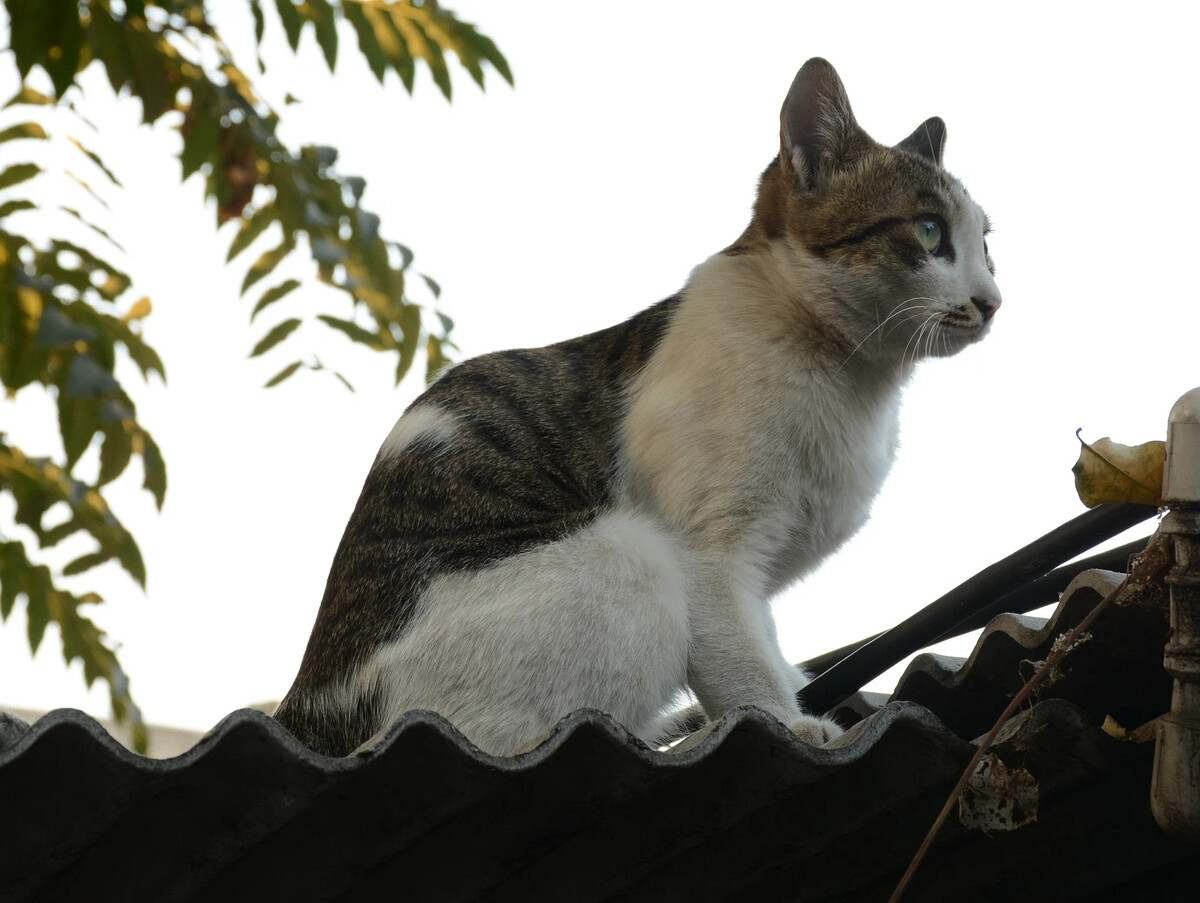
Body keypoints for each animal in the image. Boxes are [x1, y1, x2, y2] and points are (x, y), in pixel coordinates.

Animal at [274, 58, 1003, 754]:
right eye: (930, 231)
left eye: (988, 247)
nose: (993, 300)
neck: (853, 379)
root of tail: (306, 704)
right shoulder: (709, 555)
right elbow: (743, 665)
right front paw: (786, 722)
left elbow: (764, 645)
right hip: (630, 555)